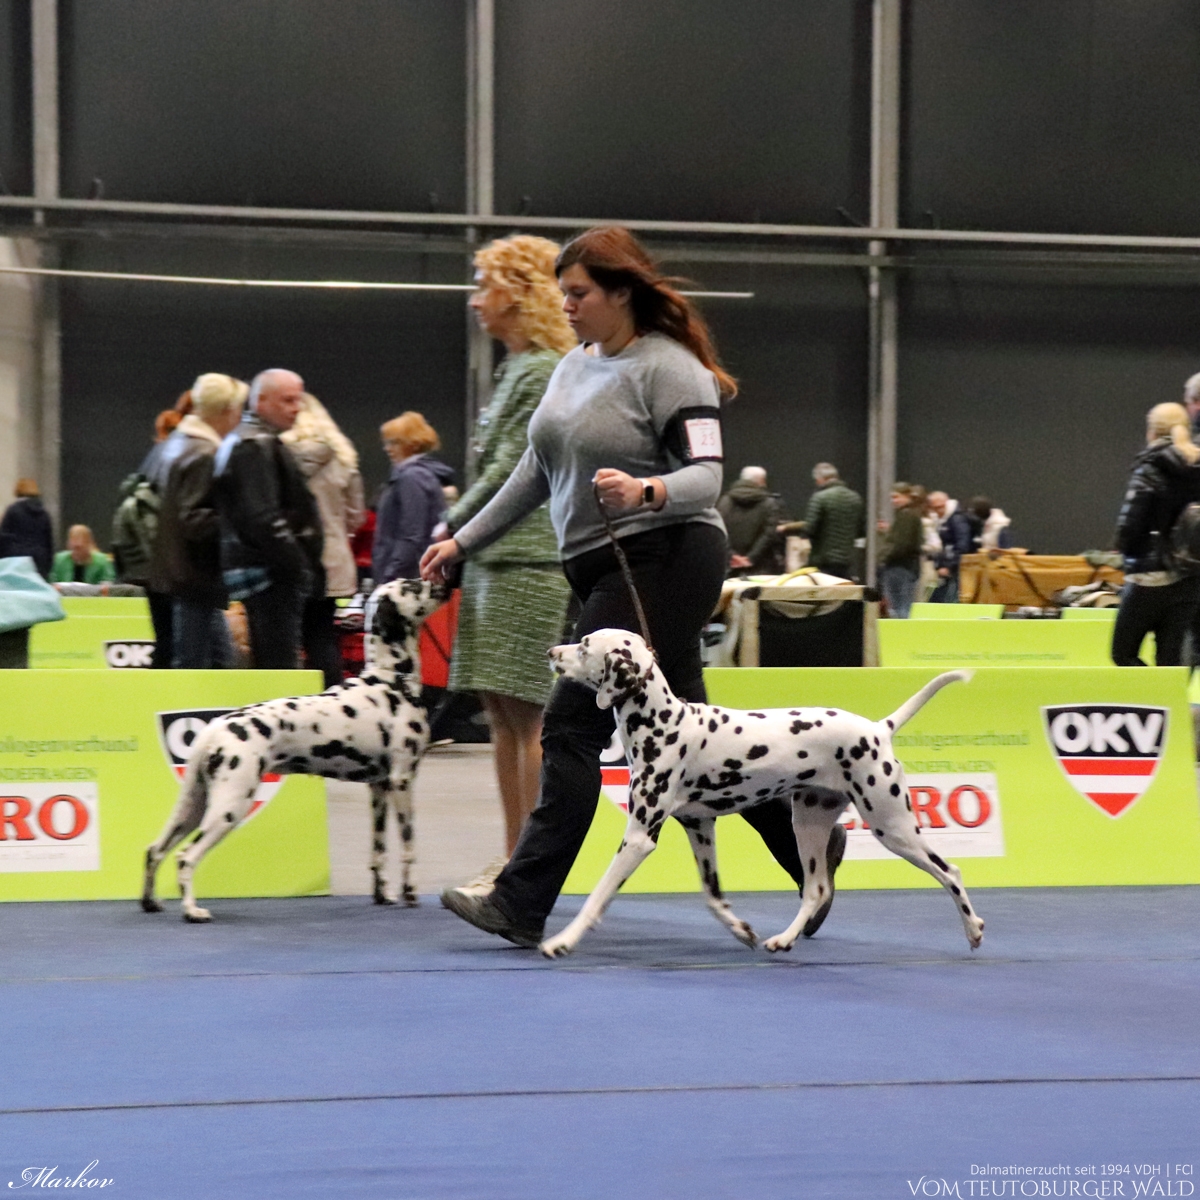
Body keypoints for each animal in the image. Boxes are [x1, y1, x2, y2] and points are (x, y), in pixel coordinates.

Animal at [140, 578, 448, 916]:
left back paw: (151, 902)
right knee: (186, 857)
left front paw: (383, 895)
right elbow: (408, 847)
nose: (444, 581)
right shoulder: (402, 781)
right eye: (412, 586)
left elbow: (378, 851)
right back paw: (192, 911)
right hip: (230, 807)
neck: (391, 680)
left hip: (193, 806)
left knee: (154, 850)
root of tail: (214, 729)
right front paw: (410, 893)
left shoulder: (379, 787)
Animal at [544, 628, 984, 955]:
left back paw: (974, 929)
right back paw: (784, 939)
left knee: (951, 872)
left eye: (584, 645)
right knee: (816, 889)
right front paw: (741, 930)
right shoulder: (700, 828)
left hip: (892, 827)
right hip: (807, 825)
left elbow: (597, 895)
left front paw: (562, 940)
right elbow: (713, 897)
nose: (551, 651)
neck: (664, 724)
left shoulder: (638, 839)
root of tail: (878, 729)